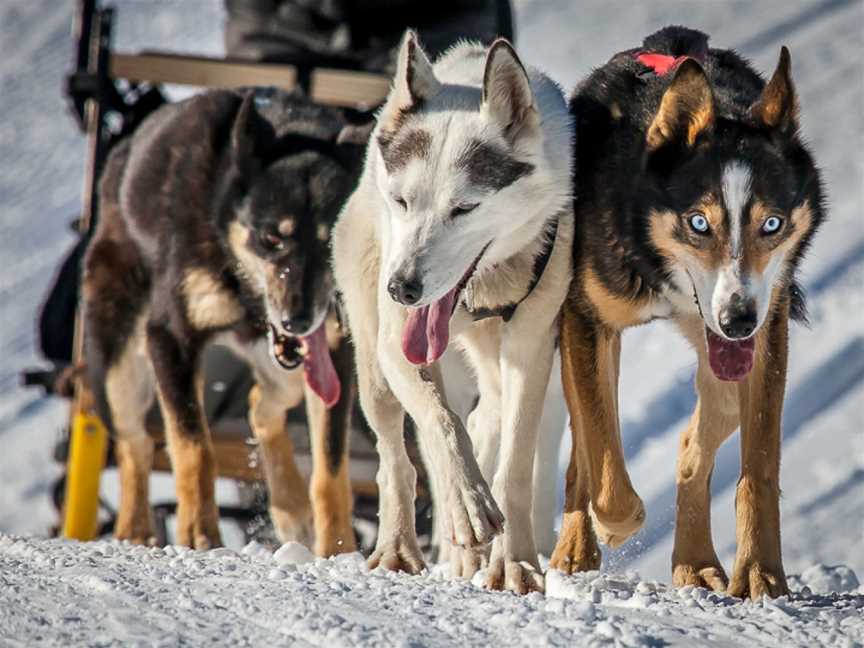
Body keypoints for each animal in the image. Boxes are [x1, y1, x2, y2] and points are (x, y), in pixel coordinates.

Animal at [336, 33, 572, 596]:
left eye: (463, 208)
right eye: (402, 201)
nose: (402, 288)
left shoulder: (531, 351)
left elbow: (513, 466)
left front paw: (516, 562)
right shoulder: (400, 347)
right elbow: (441, 425)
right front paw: (467, 505)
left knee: (489, 421)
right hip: (373, 367)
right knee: (397, 459)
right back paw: (402, 546)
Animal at [552, 27, 828, 600]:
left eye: (772, 223)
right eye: (699, 222)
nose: (738, 318)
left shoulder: (766, 336)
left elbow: (758, 468)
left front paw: (761, 572)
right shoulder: (585, 321)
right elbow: (601, 458)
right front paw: (617, 524)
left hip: (724, 365)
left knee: (694, 440)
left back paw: (696, 561)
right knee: (584, 451)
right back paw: (578, 546)